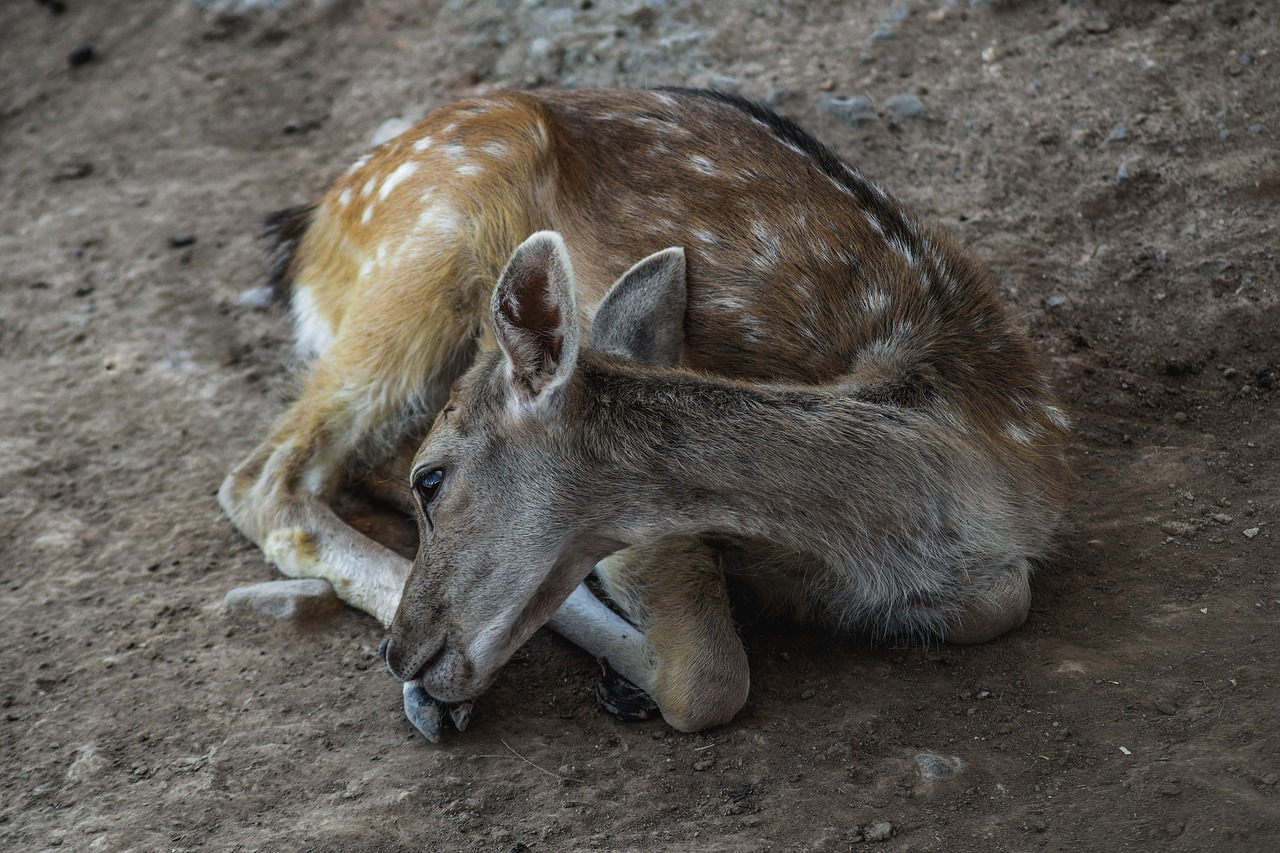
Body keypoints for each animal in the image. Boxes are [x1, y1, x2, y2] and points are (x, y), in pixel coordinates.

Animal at [220, 87, 1070, 737]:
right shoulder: (652, 532)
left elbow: (1001, 601)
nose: (401, 651)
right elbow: (708, 677)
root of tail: (312, 228)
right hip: (422, 263)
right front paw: (623, 676)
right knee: (264, 477)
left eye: (436, 480)